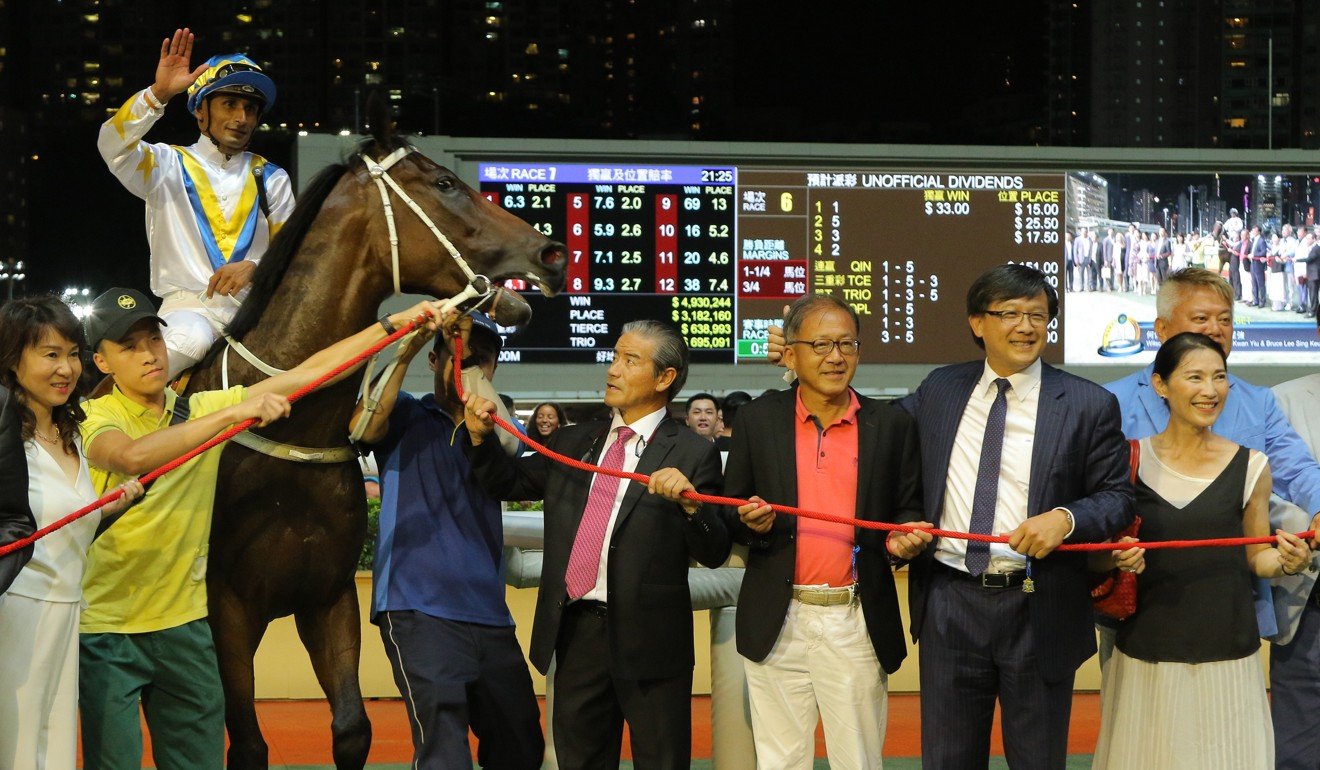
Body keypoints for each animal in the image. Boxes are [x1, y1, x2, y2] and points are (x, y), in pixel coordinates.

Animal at [184, 123, 562, 766]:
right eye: (446, 182)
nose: (551, 253)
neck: (288, 423)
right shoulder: (226, 608)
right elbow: (249, 743)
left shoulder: (329, 597)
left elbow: (352, 728)